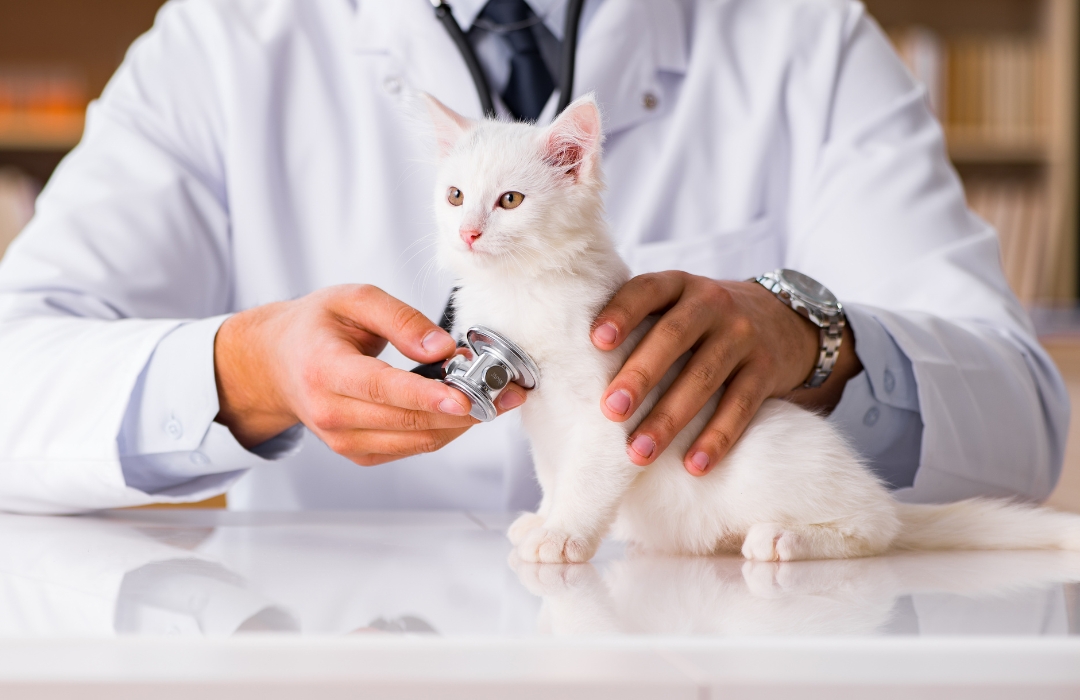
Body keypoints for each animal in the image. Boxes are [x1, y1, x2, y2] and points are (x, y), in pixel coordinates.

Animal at [419, 91, 1080, 561]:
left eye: (509, 201)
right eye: (454, 196)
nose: (468, 232)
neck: (521, 287)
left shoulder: (614, 408)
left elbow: (588, 477)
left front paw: (563, 537)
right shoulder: (541, 419)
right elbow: (555, 472)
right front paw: (545, 517)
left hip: (769, 456)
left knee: (878, 528)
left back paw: (786, 539)